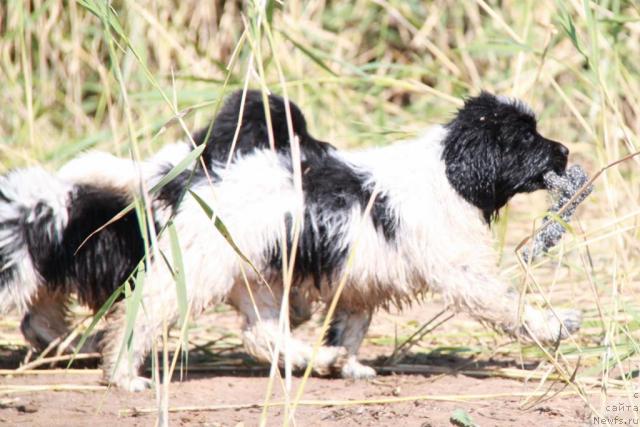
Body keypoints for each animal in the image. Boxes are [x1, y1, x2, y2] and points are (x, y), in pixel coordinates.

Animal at [0, 90, 580, 392]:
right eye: (526, 138)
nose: (566, 152)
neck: (447, 171)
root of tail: (197, 173)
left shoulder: (357, 283)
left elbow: (349, 328)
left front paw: (347, 363)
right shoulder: (461, 272)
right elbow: (507, 303)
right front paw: (551, 325)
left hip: (254, 274)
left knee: (261, 336)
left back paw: (318, 361)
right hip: (200, 268)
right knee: (140, 315)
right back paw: (122, 375)